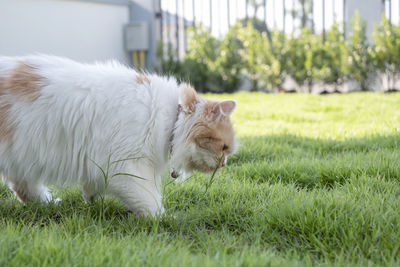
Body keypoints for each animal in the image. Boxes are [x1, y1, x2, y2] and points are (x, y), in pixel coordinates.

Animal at [0, 55, 236, 218]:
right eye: (224, 148)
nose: (224, 164)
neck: (171, 118)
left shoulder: (100, 162)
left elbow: (92, 186)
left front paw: (90, 198)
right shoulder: (126, 166)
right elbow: (149, 199)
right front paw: (164, 218)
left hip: (23, 157)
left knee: (24, 188)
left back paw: (48, 203)